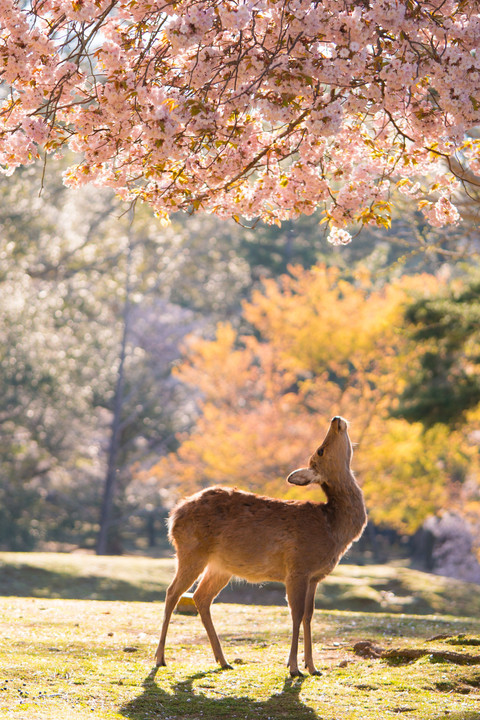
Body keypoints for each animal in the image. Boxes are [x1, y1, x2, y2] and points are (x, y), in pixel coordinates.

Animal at [156, 416, 366, 676]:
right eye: (320, 449)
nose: (336, 419)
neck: (333, 528)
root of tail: (173, 516)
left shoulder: (314, 576)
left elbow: (309, 615)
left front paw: (312, 666)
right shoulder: (297, 568)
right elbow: (296, 613)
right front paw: (293, 667)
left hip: (220, 566)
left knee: (200, 597)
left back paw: (223, 660)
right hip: (190, 552)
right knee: (172, 592)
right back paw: (160, 658)